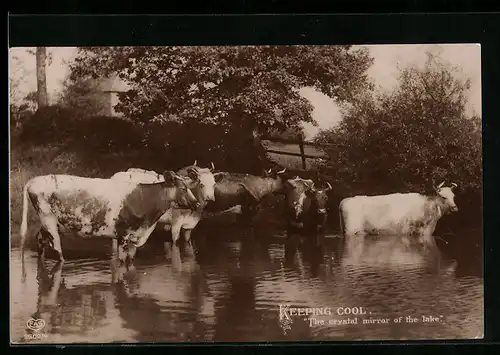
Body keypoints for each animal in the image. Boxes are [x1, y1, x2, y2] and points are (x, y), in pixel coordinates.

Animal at [19, 171, 199, 272]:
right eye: (183, 188)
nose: (197, 203)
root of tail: (33, 180)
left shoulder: (134, 238)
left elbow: (130, 262)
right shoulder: (123, 236)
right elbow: (121, 263)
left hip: (49, 223)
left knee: (40, 240)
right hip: (48, 219)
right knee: (56, 248)